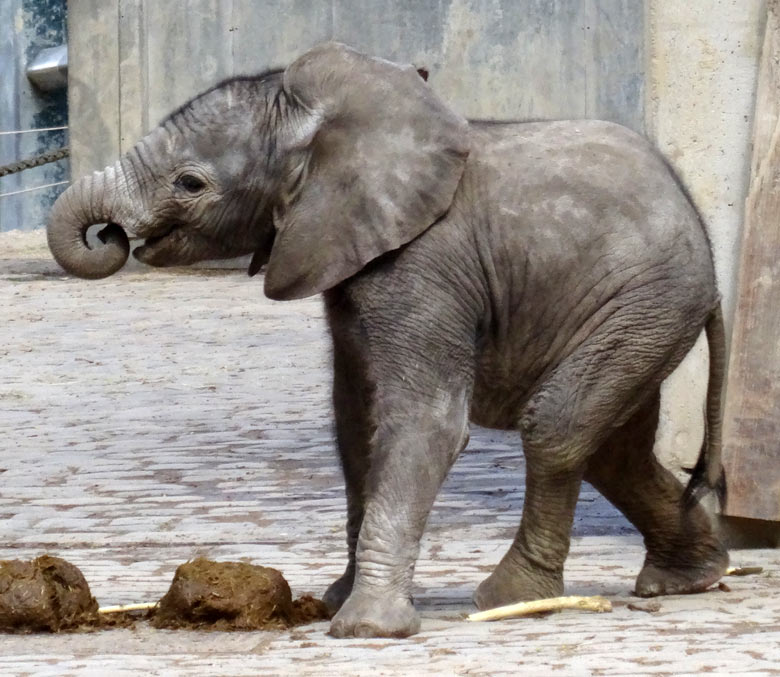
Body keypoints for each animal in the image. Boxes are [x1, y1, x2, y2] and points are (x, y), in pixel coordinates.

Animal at [47, 43, 732, 640]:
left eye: (190, 184)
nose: (110, 235)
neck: (331, 128)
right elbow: (359, 427)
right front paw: (337, 602)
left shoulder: (421, 266)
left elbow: (422, 421)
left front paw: (366, 628)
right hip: (638, 315)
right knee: (614, 449)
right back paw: (686, 580)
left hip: (646, 301)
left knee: (558, 426)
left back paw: (511, 599)